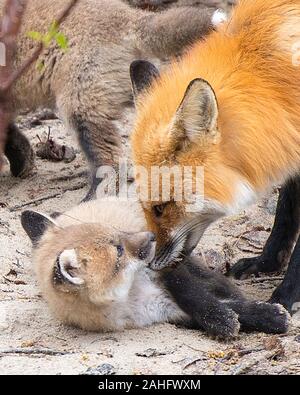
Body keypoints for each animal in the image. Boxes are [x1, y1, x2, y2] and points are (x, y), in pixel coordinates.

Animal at [131, 0, 300, 316]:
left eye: (160, 208)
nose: (148, 264)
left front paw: (287, 293)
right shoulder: (289, 145)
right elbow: (286, 214)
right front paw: (266, 262)